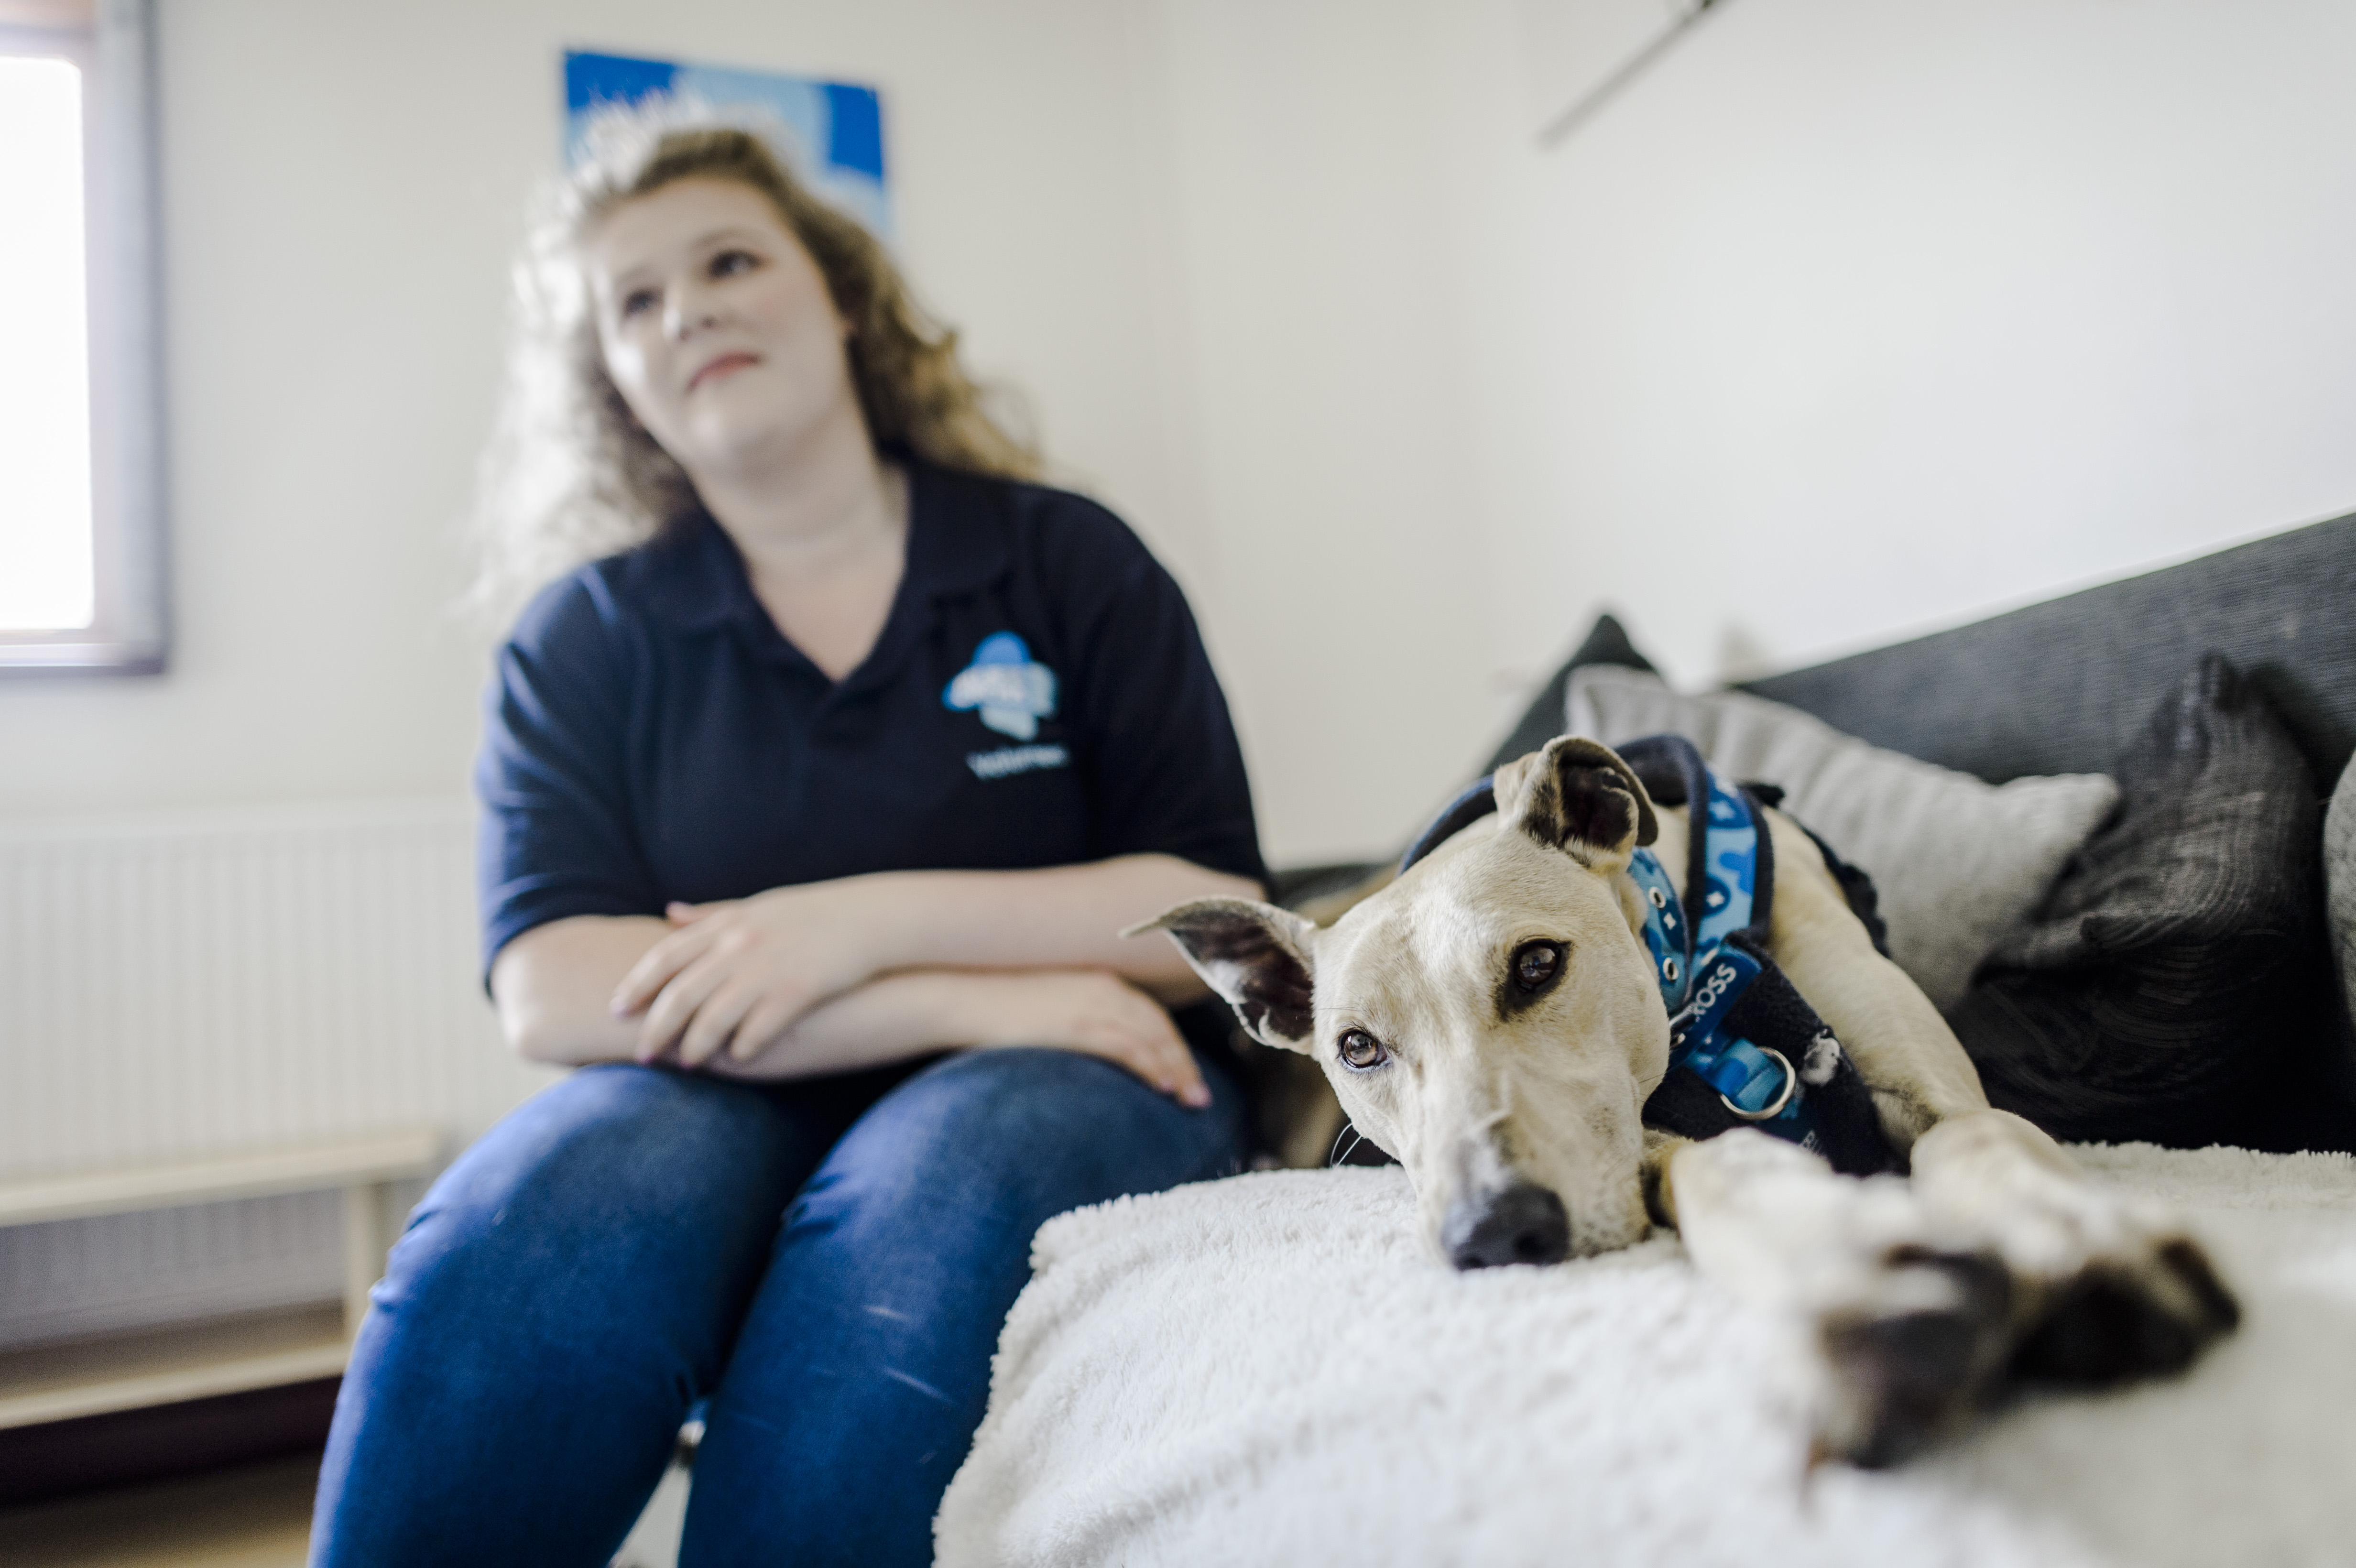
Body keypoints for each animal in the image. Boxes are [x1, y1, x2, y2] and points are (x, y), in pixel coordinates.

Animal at [1149, 734, 2233, 1469]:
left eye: (1537, 963)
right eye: (1358, 1047)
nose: (1493, 1234)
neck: (1699, 959)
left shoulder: (1943, 1102)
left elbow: (1979, 1146)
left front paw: (2081, 1243)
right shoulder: (1651, 1145)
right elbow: (1728, 1170)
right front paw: (1852, 1276)